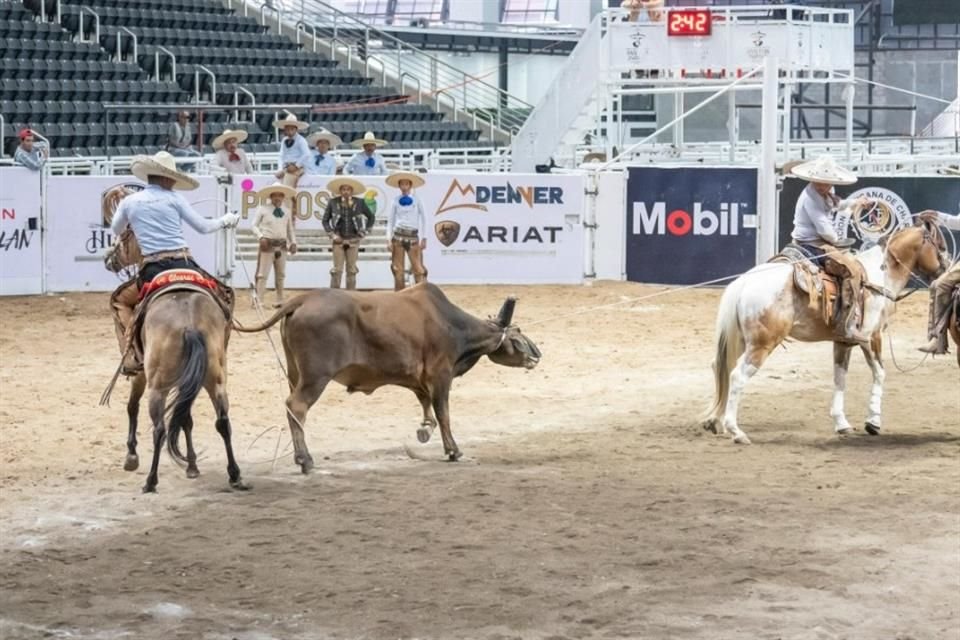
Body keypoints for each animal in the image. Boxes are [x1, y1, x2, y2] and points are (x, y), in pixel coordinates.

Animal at [99, 185, 244, 496]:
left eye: (124, 234)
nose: (108, 258)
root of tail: (188, 322)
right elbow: (185, 417)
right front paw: (192, 465)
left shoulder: (142, 372)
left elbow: (133, 407)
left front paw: (131, 456)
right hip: (214, 378)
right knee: (223, 421)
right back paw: (235, 474)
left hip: (158, 384)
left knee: (159, 428)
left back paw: (150, 481)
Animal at [700, 221, 948, 444]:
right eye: (940, 246)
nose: (945, 269)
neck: (881, 274)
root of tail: (744, 281)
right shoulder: (870, 337)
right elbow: (879, 373)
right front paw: (873, 422)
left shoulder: (842, 342)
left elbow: (840, 378)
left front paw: (842, 423)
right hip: (762, 344)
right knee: (736, 376)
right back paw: (736, 431)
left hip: (743, 340)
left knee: (720, 368)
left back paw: (715, 421)